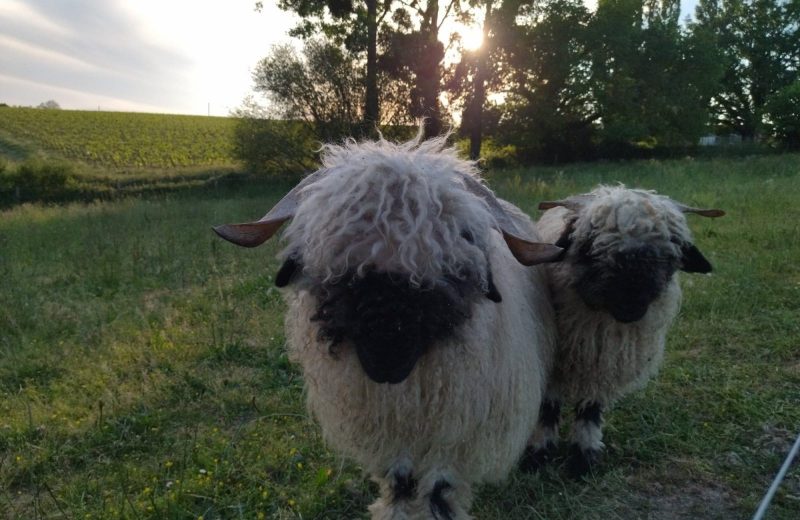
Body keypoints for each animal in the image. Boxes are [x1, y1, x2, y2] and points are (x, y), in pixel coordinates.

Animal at [216, 135, 560, 520]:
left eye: (458, 245)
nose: (387, 358)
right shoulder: (391, 427)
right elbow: (400, 480)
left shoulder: (454, 430)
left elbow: (440, 487)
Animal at [524, 185, 724, 478]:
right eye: (588, 246)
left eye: (671, 253)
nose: (630, 306)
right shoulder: (552, 360)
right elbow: (548, 406)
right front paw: (538, 452)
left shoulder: (605, 362)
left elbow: (590, 408)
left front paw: (583, 457)